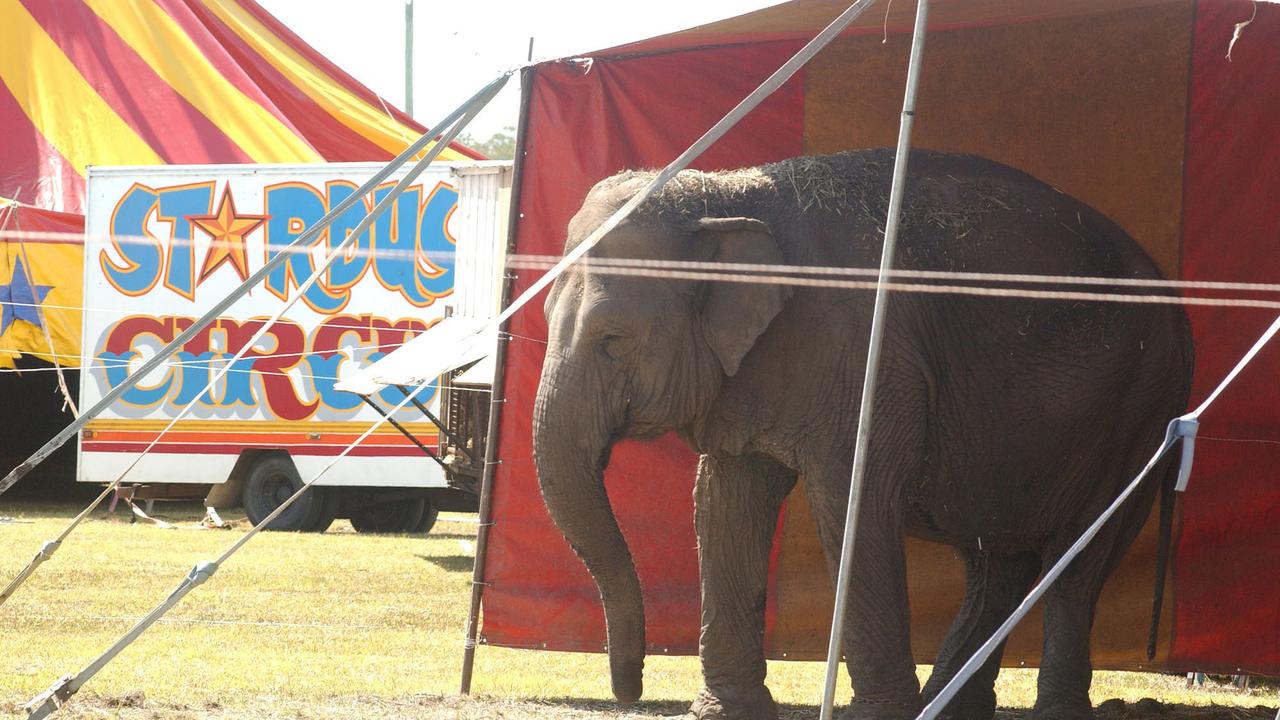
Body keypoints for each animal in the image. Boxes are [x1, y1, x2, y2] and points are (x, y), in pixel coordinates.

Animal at [529, 147, 1187, 717]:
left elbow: (851, 501)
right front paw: (726, 713)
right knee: (999, 561)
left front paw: (877, 715)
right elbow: (727, 502)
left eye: (612, 340)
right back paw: (947, 706)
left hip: (1139, 411)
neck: (726, 196)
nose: (630, 689)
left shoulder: (865, 351)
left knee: (1079, 559)